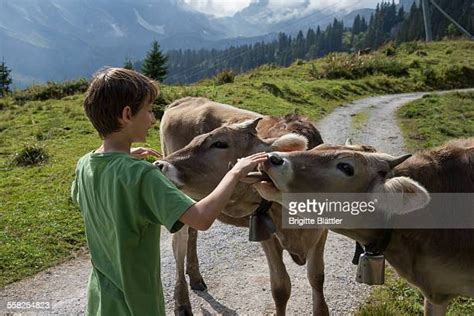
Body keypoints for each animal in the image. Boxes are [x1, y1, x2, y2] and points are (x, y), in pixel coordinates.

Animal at [157, 97, 328, 314]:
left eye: (220, 143)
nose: (159, 165)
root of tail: (184, 99)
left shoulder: (322, 232)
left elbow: (317, 279)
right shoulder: (266, 234)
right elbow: (281, 288)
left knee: (192, 234)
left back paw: (195, 277)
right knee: (179, 242)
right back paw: (182, 302)